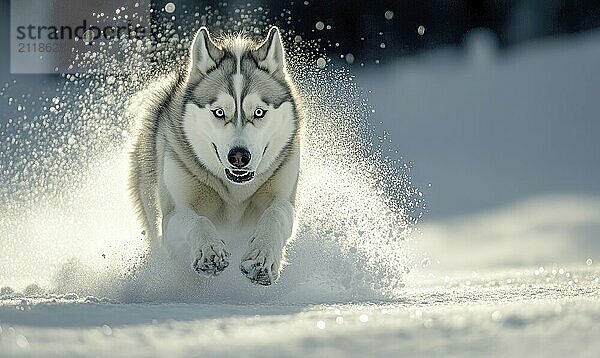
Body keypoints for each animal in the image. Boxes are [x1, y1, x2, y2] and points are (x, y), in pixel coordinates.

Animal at [129, 26, 302, 286]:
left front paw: (261, 258)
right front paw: (209, 251)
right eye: (219, 112)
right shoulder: (171, 218)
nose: (239, 156)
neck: (235, 193)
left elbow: (275, 214)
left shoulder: (284, 198)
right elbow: (197, 220)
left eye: (259, 112)